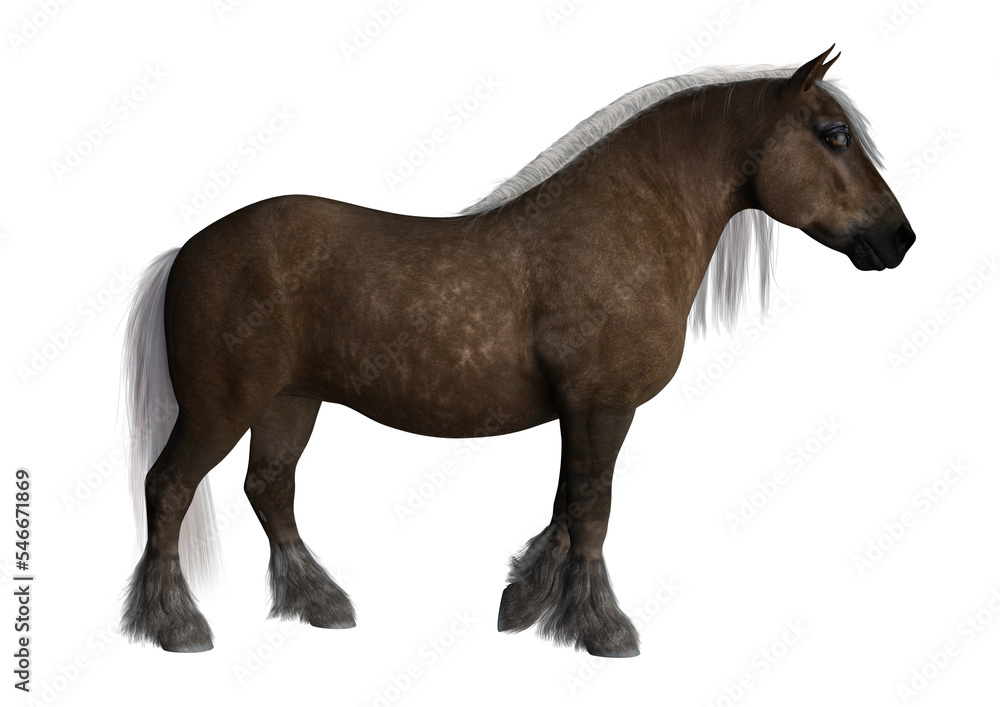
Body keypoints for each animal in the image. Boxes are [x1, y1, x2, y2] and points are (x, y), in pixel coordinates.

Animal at [120, 46, 915, 656]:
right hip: (221, 406)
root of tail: (188, 249)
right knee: (170, 486)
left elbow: (567, 504)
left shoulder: (581, 411)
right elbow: (591, 510)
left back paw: (321, 603)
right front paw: (604, 630)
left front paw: (525, 605)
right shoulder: (602, 406)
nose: (899, 239)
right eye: (834, 134)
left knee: (269, 488)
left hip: (291, 401)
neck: (624, 222)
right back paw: (178, 627)